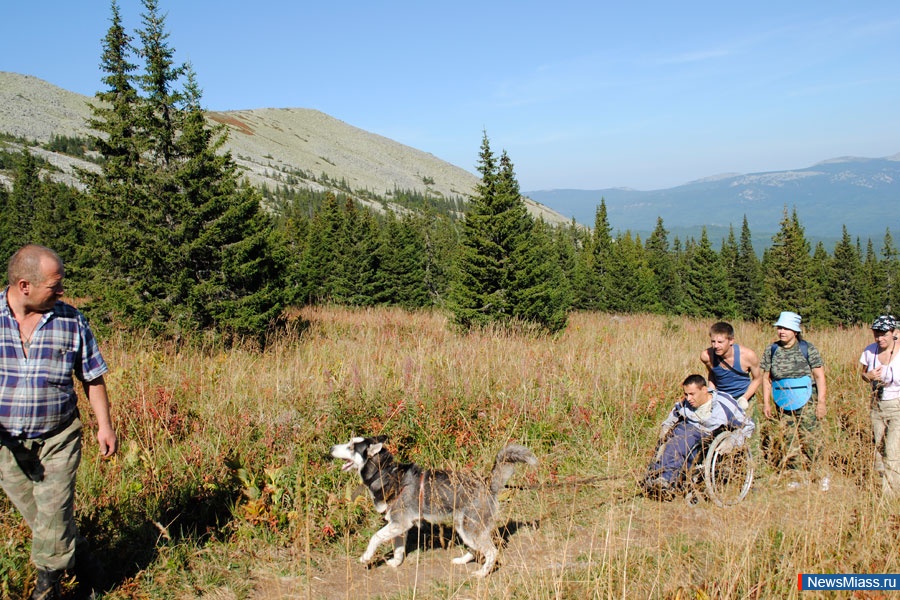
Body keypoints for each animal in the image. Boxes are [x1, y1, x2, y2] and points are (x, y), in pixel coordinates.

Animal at [332, 436, 536, 576]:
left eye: (351, 446)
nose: (332, 448)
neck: (385, 473)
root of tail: (487, 483)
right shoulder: (399, 527)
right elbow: (398, 549)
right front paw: (395, 563)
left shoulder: (400, 523)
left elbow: (374, 538)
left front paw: (366, 556)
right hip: (464, 528)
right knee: (475, 549)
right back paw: (462, 560)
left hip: (470, 529)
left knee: (492, 552)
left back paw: (482, 573)